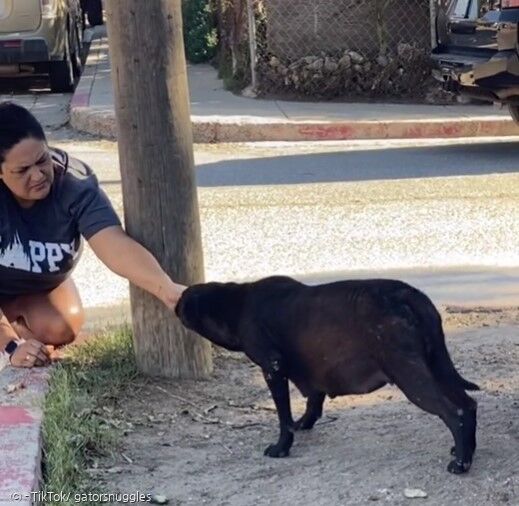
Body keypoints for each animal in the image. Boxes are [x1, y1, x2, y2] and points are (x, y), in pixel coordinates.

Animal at [175, 274, 480, 472]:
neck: (238, 303)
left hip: (409, 374)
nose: (175, 303)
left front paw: (282, 446)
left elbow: (283, 417)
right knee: (468, 404)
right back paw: (466, 450)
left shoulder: (272, 369)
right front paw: (304, 423)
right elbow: (313, 402)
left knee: (454, 412)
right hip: (436, 367)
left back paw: (461, 463)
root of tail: (409, 294)